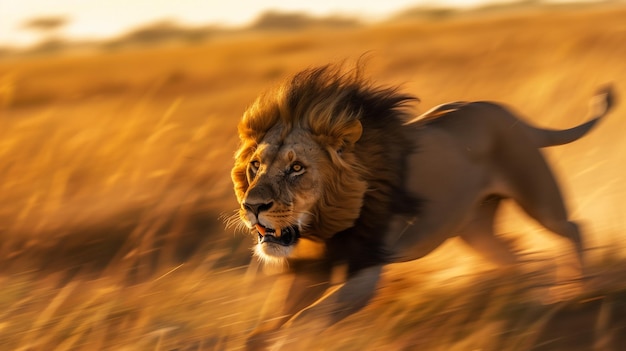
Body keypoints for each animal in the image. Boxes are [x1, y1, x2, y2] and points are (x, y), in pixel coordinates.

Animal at [230, 64, 616, 350]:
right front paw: (260, 339)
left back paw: (580, 287)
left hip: (537, 196)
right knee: (513, 257)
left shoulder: (365, 272)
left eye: (297, 168)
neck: (324, 223)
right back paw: (527, 299)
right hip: (476, 229)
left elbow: (304, 320)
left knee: (574, 228)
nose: (252, 206)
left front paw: (285, 340)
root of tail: (512, 115)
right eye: (255, 165)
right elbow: (265, 328)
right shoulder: (311, 271)